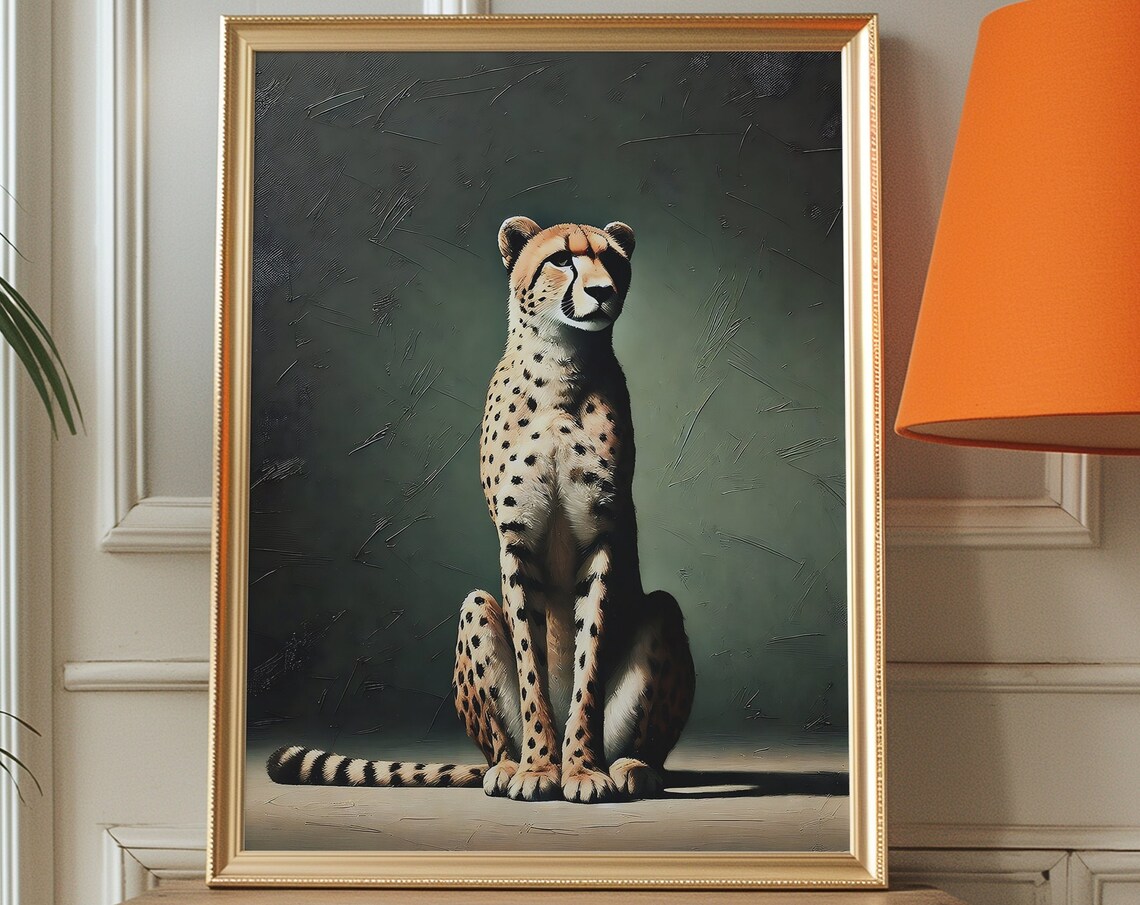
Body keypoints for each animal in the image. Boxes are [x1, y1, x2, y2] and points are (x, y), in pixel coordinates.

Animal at [267, 216, 695, 804]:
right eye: (562, 259)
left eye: (612, 260)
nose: (602, 291)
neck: (562, 366)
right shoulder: (516, 539)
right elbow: (531, 662)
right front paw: (539, 768)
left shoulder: (601, 538)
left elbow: (587, 666)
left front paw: (583, 770)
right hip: (474, 610)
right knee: (494, 733)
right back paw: (511, 767)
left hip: (662, 616)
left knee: (654, 655)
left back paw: (628, 766)